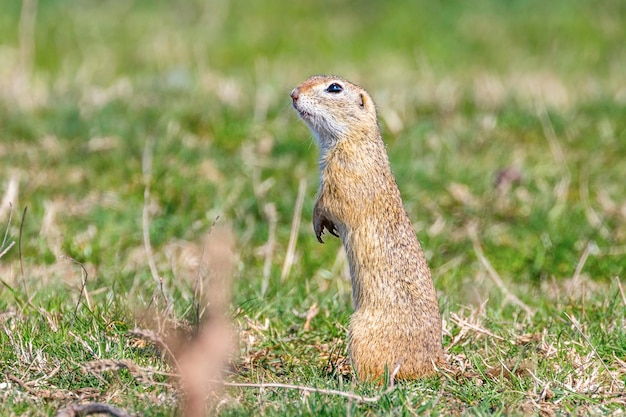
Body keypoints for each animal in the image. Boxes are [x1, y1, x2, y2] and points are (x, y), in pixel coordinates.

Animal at [290, 75, 442, 380]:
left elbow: (328, 203)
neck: (354, 139)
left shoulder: (342, 176)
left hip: (360, 331)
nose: (293, 94)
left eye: (334, 88)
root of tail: (437, 364)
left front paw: (319, 226)